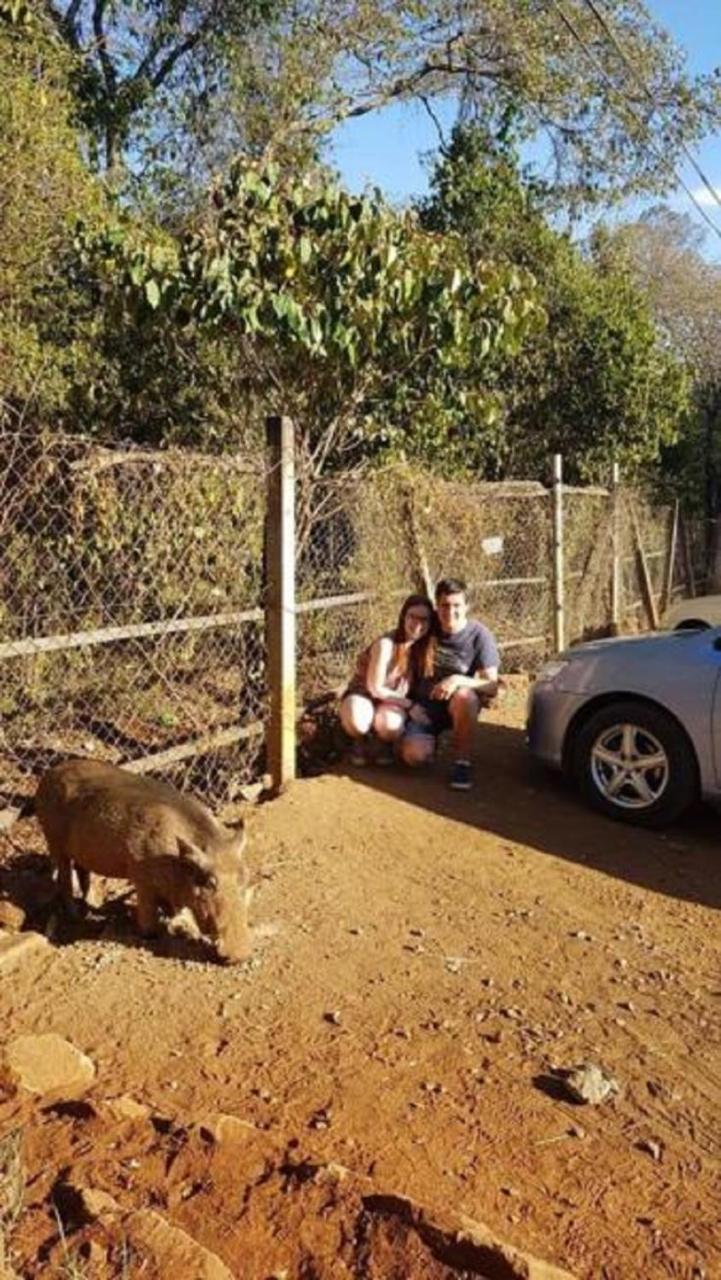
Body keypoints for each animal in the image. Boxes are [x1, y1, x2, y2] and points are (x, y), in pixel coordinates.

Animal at [35, 757, 252, 962]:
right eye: (209, 883)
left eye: (244, 880)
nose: (240, 955)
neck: (174, 861)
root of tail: (48, 775)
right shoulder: (141, 877)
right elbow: (149, 915)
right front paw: (152, 934)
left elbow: (174, 908)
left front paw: (178, 924)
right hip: (53, 841)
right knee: (64, 878)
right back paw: (76, 917)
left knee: (82, 872)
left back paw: (93, 906)